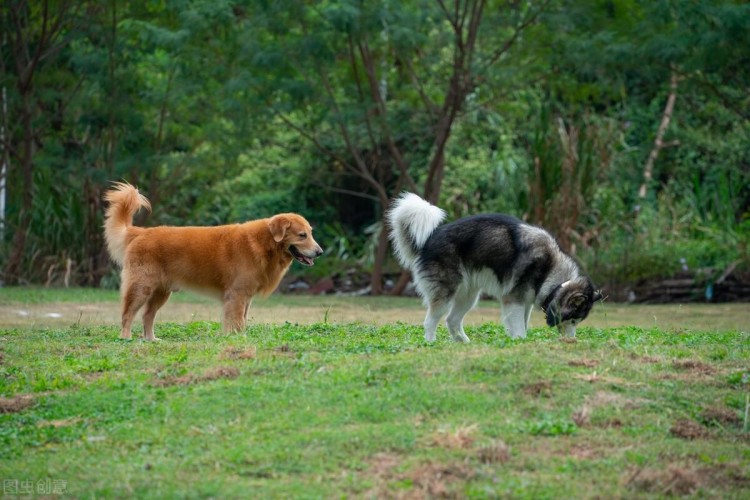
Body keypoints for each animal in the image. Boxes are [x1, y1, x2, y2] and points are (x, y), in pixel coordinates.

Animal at [103, 182, 324, 342]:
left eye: (311, 233)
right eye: (302, 235)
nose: (320, 252)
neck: (265, 243)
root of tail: (141, 232)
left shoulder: (244, 297)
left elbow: (241, 320)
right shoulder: (237, 295)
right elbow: (237, 321)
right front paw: (238, 338)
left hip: (161, 292)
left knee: (147, 315)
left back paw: (151, 339)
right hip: (141, 287)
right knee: (127, 314)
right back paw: (125, 338)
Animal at [388, 193, 604, 342]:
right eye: (573, 320)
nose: (572, 340)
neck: (549, 271)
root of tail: (429, 239)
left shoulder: (524, 303)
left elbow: (523, 325)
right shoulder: (513, 300)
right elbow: (519, 329)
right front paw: (520, 342)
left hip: (468, 295)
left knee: (452, 321)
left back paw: (464, 343)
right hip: (446, 293)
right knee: (430, 321)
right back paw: (431, 343)